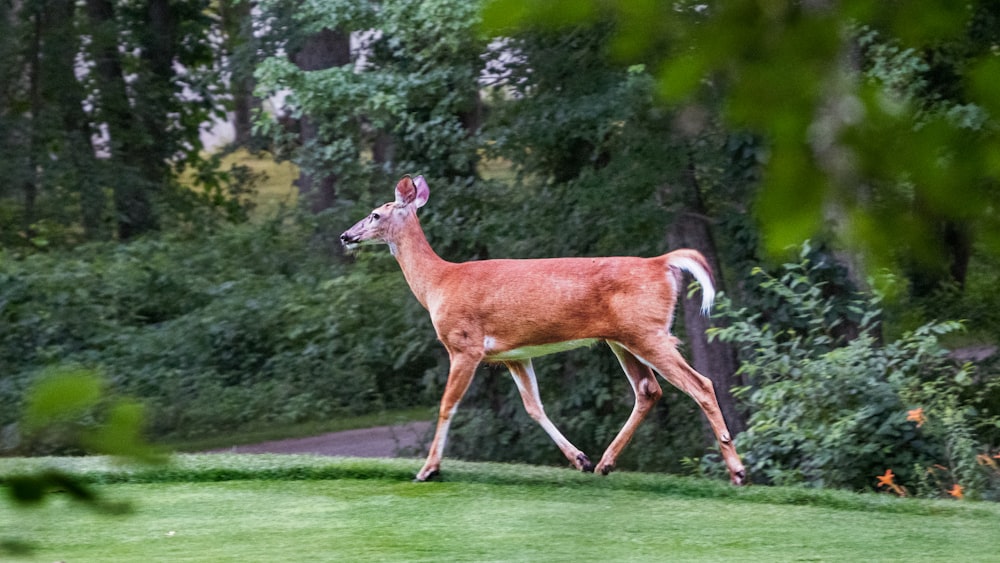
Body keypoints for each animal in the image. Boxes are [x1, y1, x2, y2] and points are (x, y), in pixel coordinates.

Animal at [340, 175, 748, 484]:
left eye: (375, 214)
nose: (346, 235)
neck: (439, 283)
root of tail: (661, 263)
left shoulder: (465, 345)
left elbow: (446, 405)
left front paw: (428, 469)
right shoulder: (513, 354)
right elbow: (533, 406)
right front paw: (579, 459)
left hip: (647, 332)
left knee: (700, 384)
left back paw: (738, 471)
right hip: (623, 338)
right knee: (648, 390)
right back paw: (604, 463)